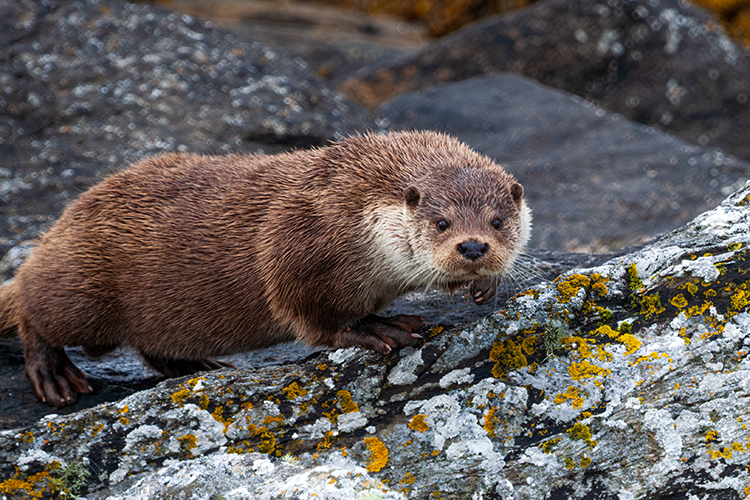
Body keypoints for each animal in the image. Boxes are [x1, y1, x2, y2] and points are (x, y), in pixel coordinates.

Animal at [0, 131, 531, 407]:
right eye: (442, 223)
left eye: (498, 221)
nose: (473, 247)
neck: (355, 204)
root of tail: (61, 226)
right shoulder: (298, 243)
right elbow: (314, 316)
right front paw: (380, 329)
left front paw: (485, 286)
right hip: (79, 286)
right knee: (32, 308)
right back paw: (55, 375)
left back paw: (194, 365)